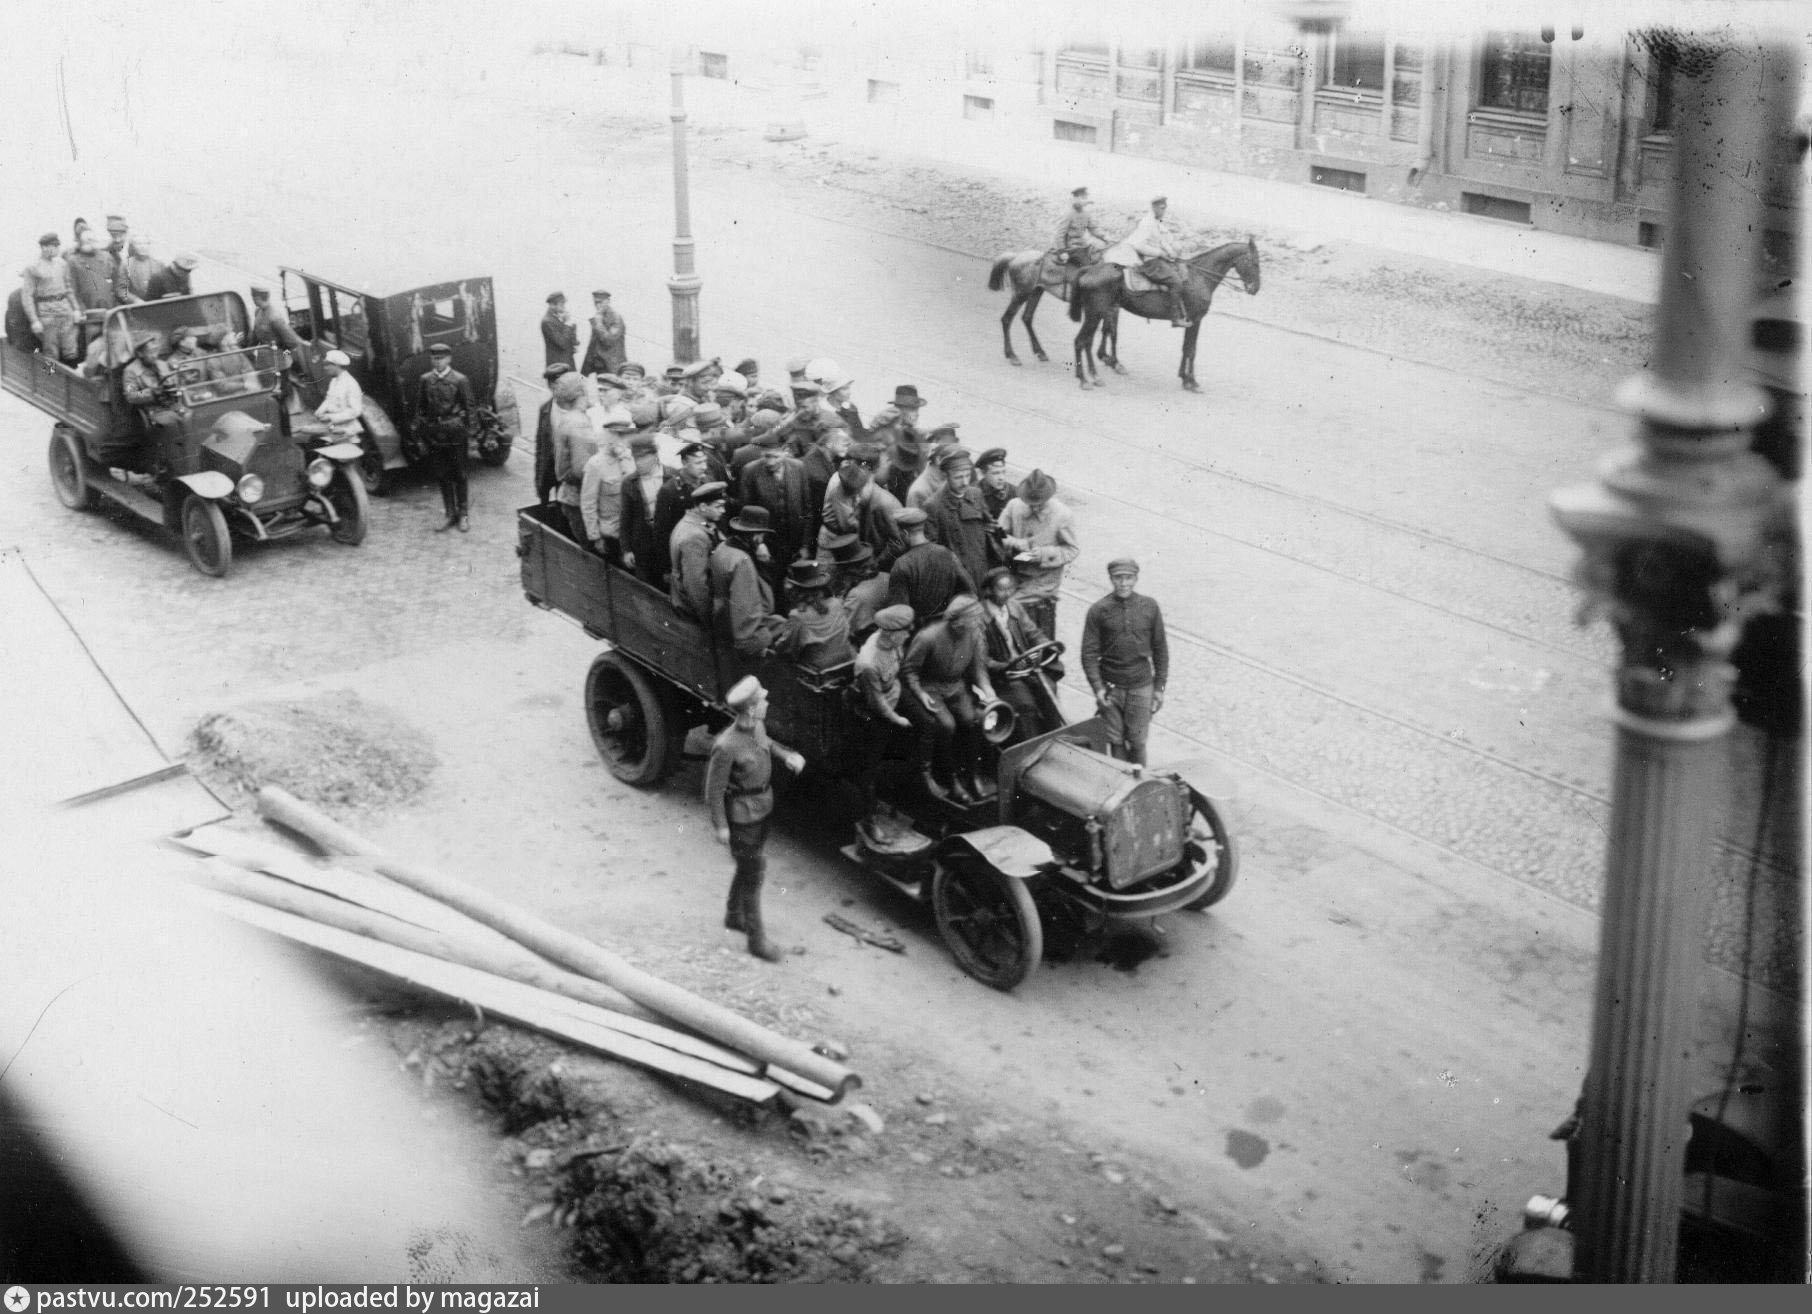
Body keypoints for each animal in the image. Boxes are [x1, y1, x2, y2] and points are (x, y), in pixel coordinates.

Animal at [1058, 237, 1261, 391]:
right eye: (1254, 262)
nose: (1255, 289)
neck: (1199, 277)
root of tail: (1089, 268)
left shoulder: (1190, 321)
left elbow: (1185, 348)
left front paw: (1184, 378)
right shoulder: (1195, 321)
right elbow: (1192, 350)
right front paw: (1192, 382)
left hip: (1098, 312)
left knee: (1088, 341)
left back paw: (1092, 375)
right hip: (1096, 312)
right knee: (1081, 341)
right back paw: (1086, 380)